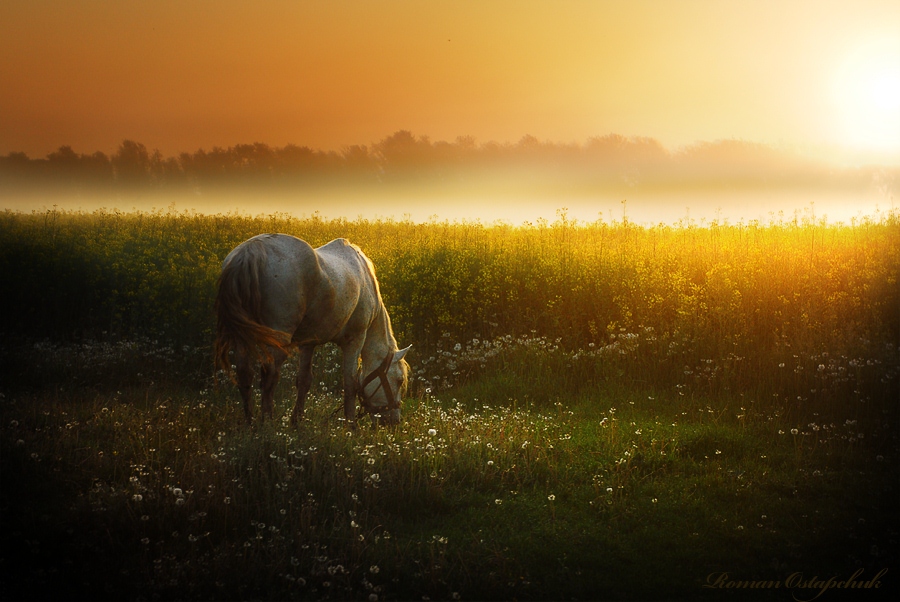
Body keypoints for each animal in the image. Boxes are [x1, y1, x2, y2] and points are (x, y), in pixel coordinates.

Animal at [213, 232, 410, 424]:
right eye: (399, 380)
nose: (394, 421)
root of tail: (251, 250)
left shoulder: (308, 344)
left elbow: (304, 381)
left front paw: (296, 420)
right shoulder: (355, 340)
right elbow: (350, 383)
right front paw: (351, 425)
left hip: (243, 339)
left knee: (245, 374)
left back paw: (250, 422)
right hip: (278, 342)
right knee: (269, 377)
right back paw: (267, 423)